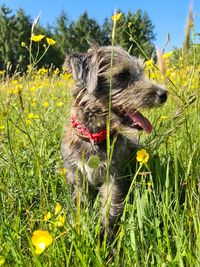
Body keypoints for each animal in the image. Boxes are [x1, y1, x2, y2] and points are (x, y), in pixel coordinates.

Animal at [61, 44, 167, 241]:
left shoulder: (112, 177)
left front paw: (104, 237)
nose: (164, 94)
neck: (94, 137)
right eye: (123, 75)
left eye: (141, 71)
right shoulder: (76, 176)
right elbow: (80, 204)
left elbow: (109, 209)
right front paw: (78, 230)